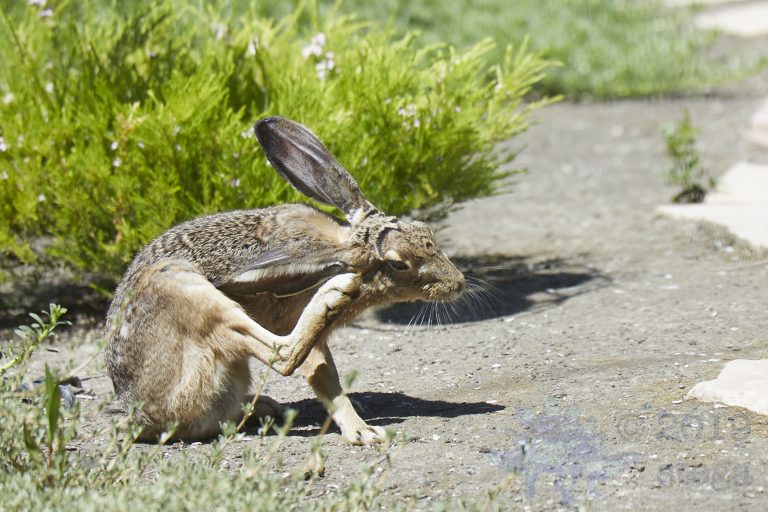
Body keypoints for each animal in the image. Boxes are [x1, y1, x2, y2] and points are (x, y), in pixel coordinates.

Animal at [104, 116, 465, 445]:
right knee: (283, 355)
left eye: (425, 229)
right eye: (399, 263)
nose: (459, 283)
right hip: (182, 291)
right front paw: (362, 432)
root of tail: (144, 421)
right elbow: (318, 375)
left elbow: (327, 376)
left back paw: (264, 407)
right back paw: (333, 294)